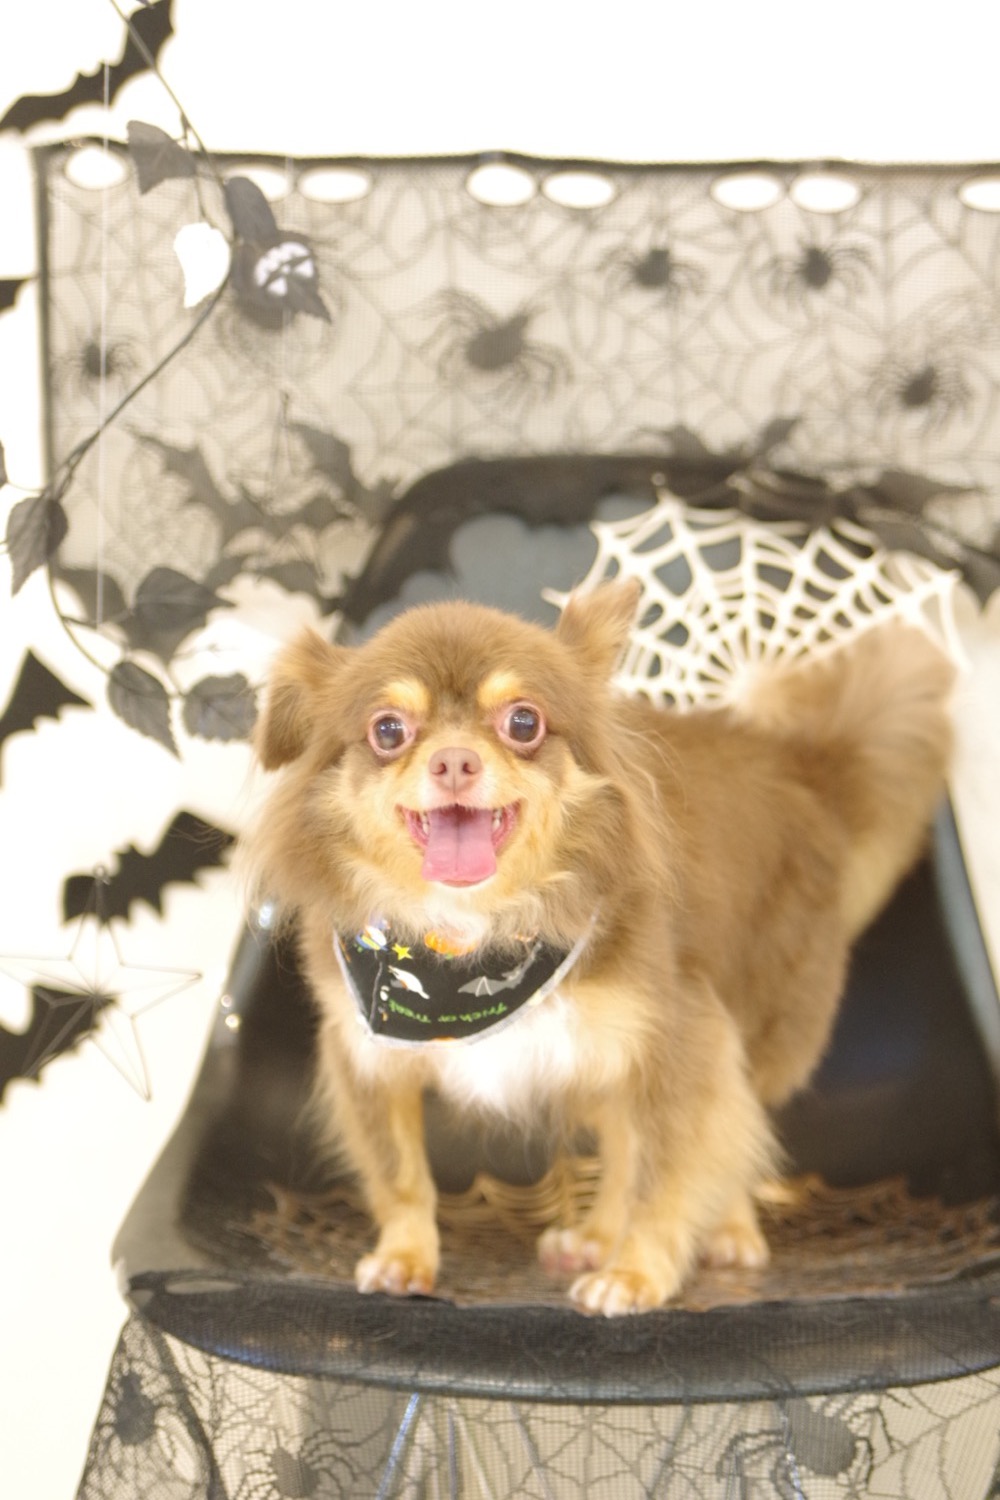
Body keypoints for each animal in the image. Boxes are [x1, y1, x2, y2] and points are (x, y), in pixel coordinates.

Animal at [244, 581, 954, 1315]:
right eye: (388, 731)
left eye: (523, 722)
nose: (454, 760)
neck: (471, 932)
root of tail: (802, 766)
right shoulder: (367, 1054)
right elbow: (401, 1174)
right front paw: (405, 1256)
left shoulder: (683, 1041)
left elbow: (668, 1173)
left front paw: (637, 1273)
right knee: (623, 1143)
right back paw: (597, 1235)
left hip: (756, 1021)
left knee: (732, 1133)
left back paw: (724, 1230)